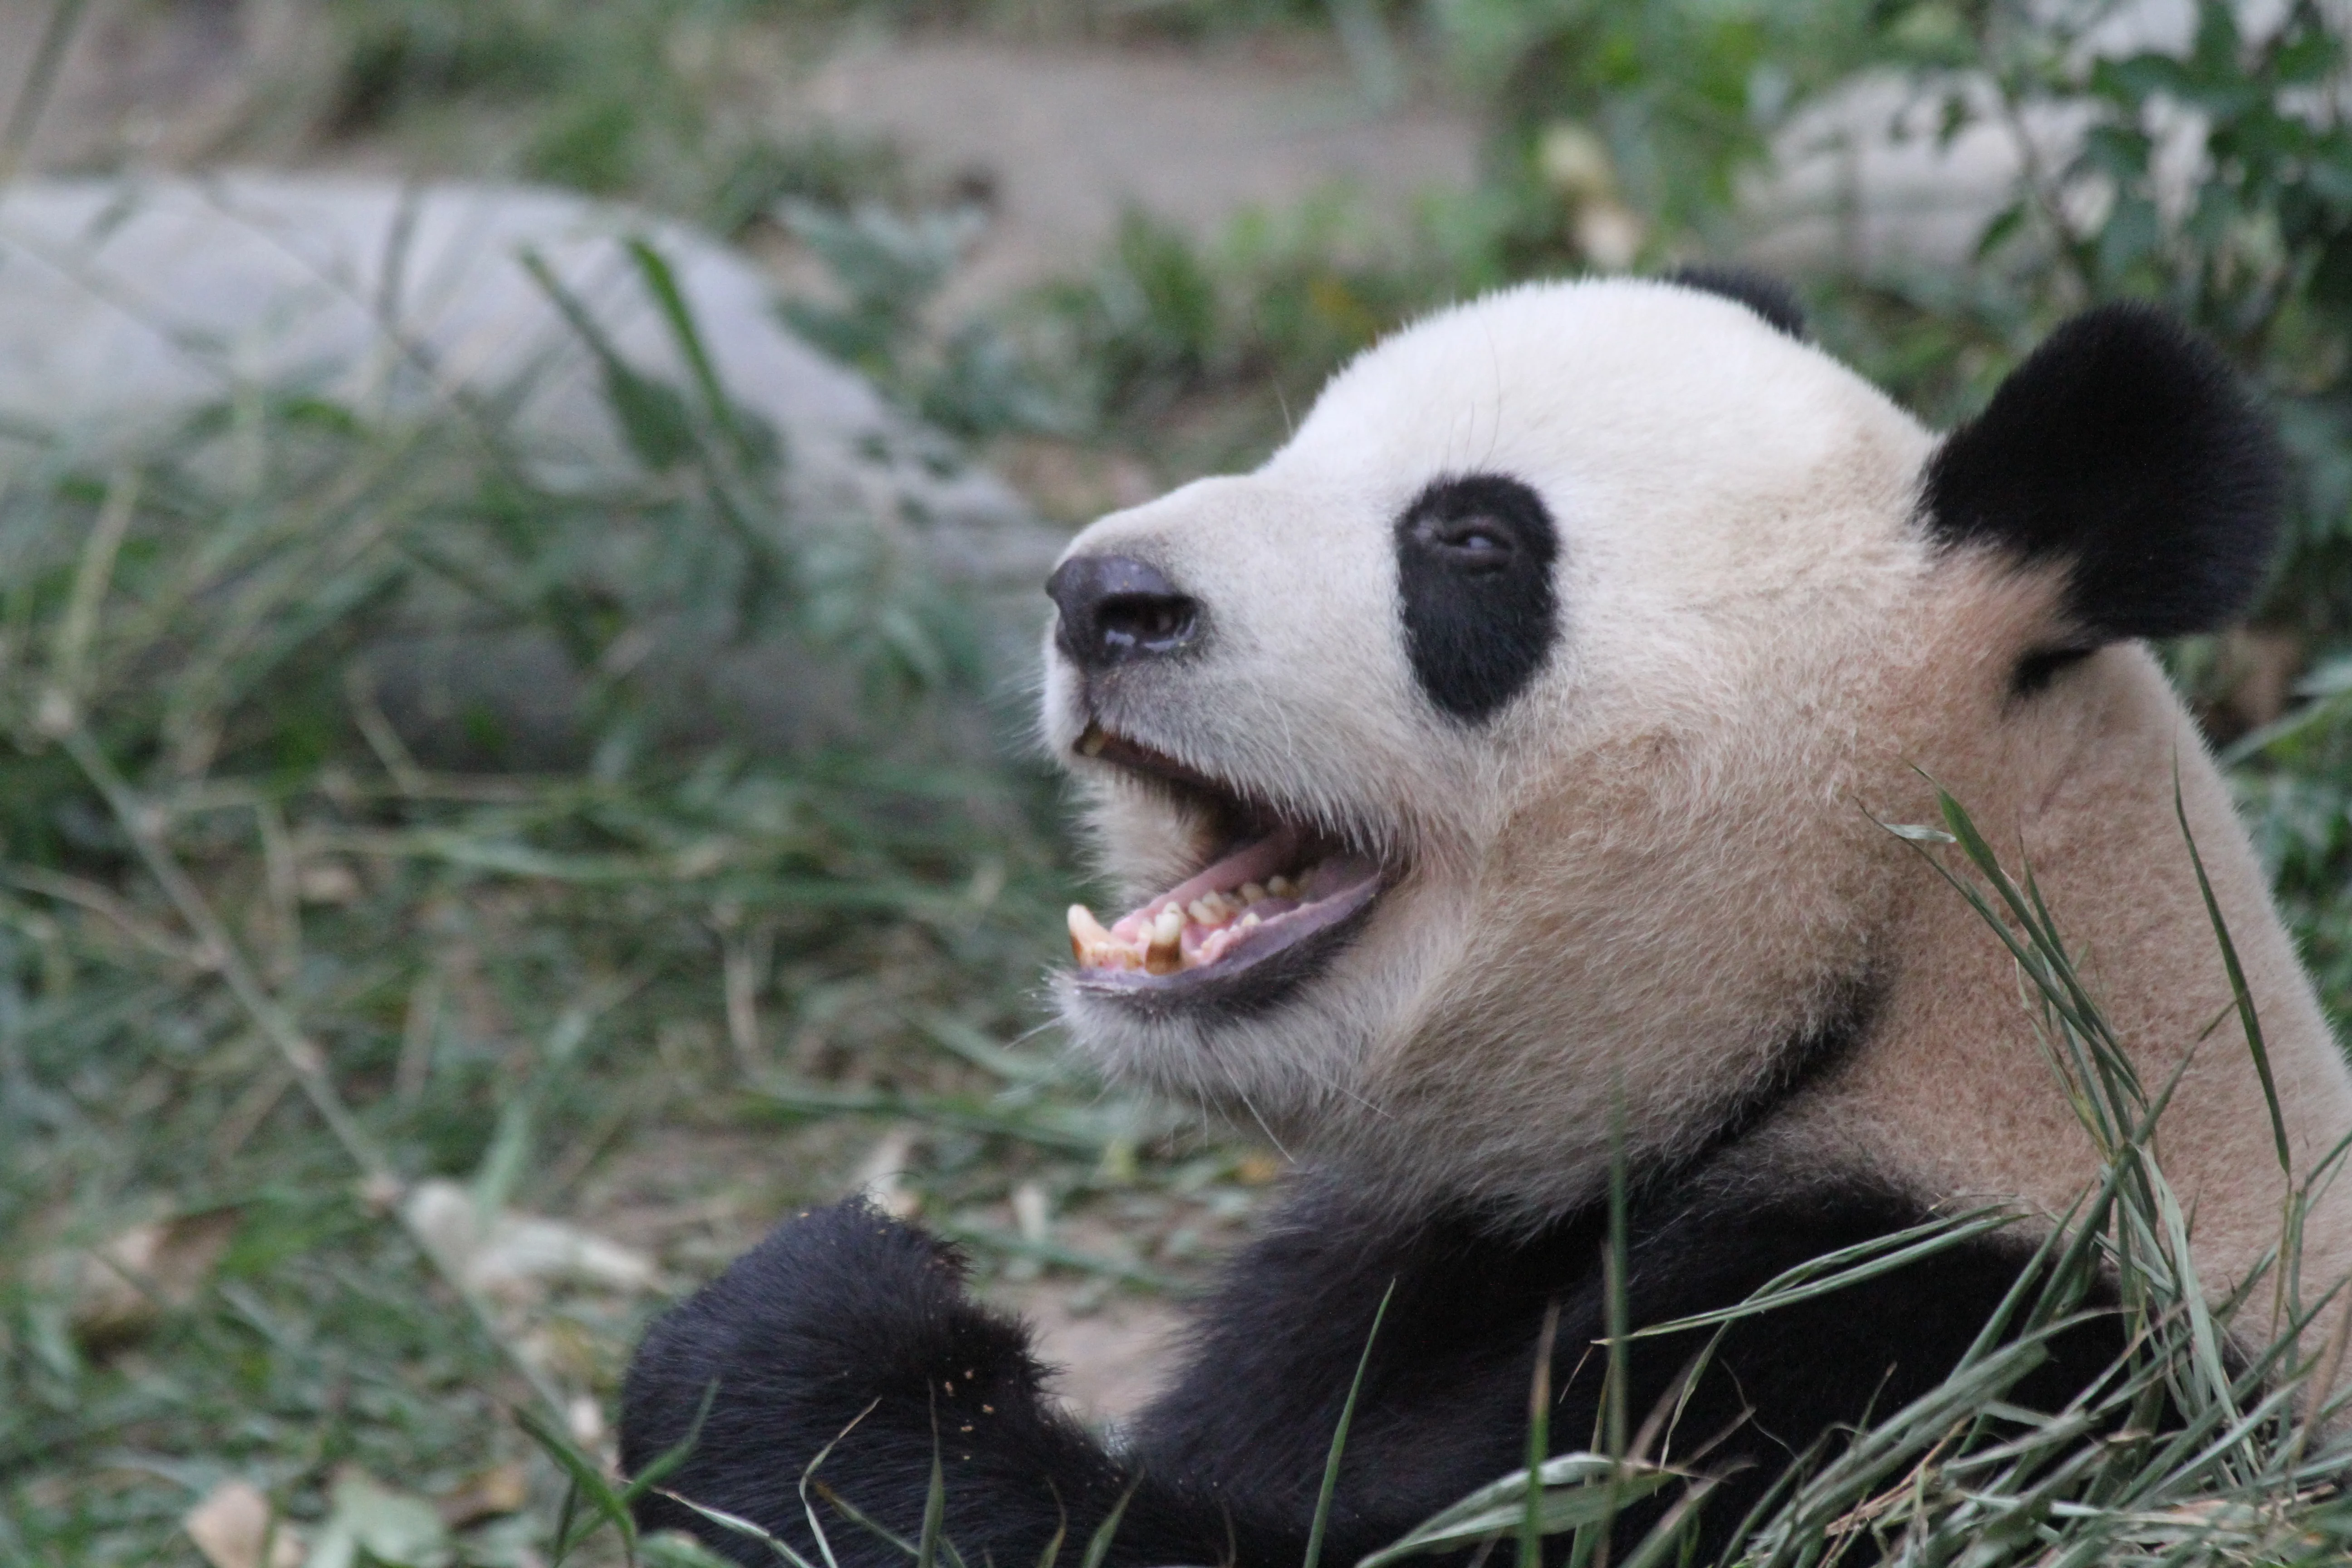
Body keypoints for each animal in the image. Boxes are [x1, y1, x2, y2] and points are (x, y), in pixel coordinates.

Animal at [619, 271, 2352, 1566]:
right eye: (1296, 447)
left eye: (1469, 542)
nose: (1103, 600)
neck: (1896, 977)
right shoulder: (1393, 1267)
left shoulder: (1957, 1348)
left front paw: (820, 1343)